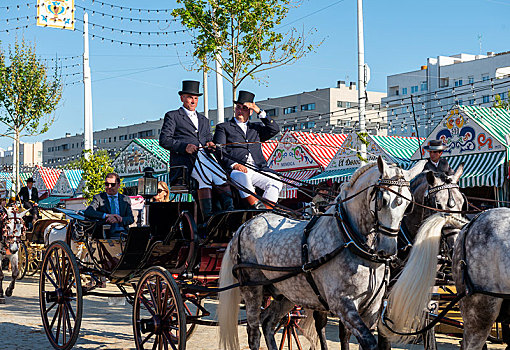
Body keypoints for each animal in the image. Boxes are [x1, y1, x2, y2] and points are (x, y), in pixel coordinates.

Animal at [217, 157, 424, 350]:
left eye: (408, 204)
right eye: (383, 200)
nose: (388, 250)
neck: (348, 238)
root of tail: (245, 225)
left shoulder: (372, 309)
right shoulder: (343, 305)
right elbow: (368, 342)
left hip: (287, 293)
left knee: (268, 322)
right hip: (252, 289)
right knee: (253, 332)